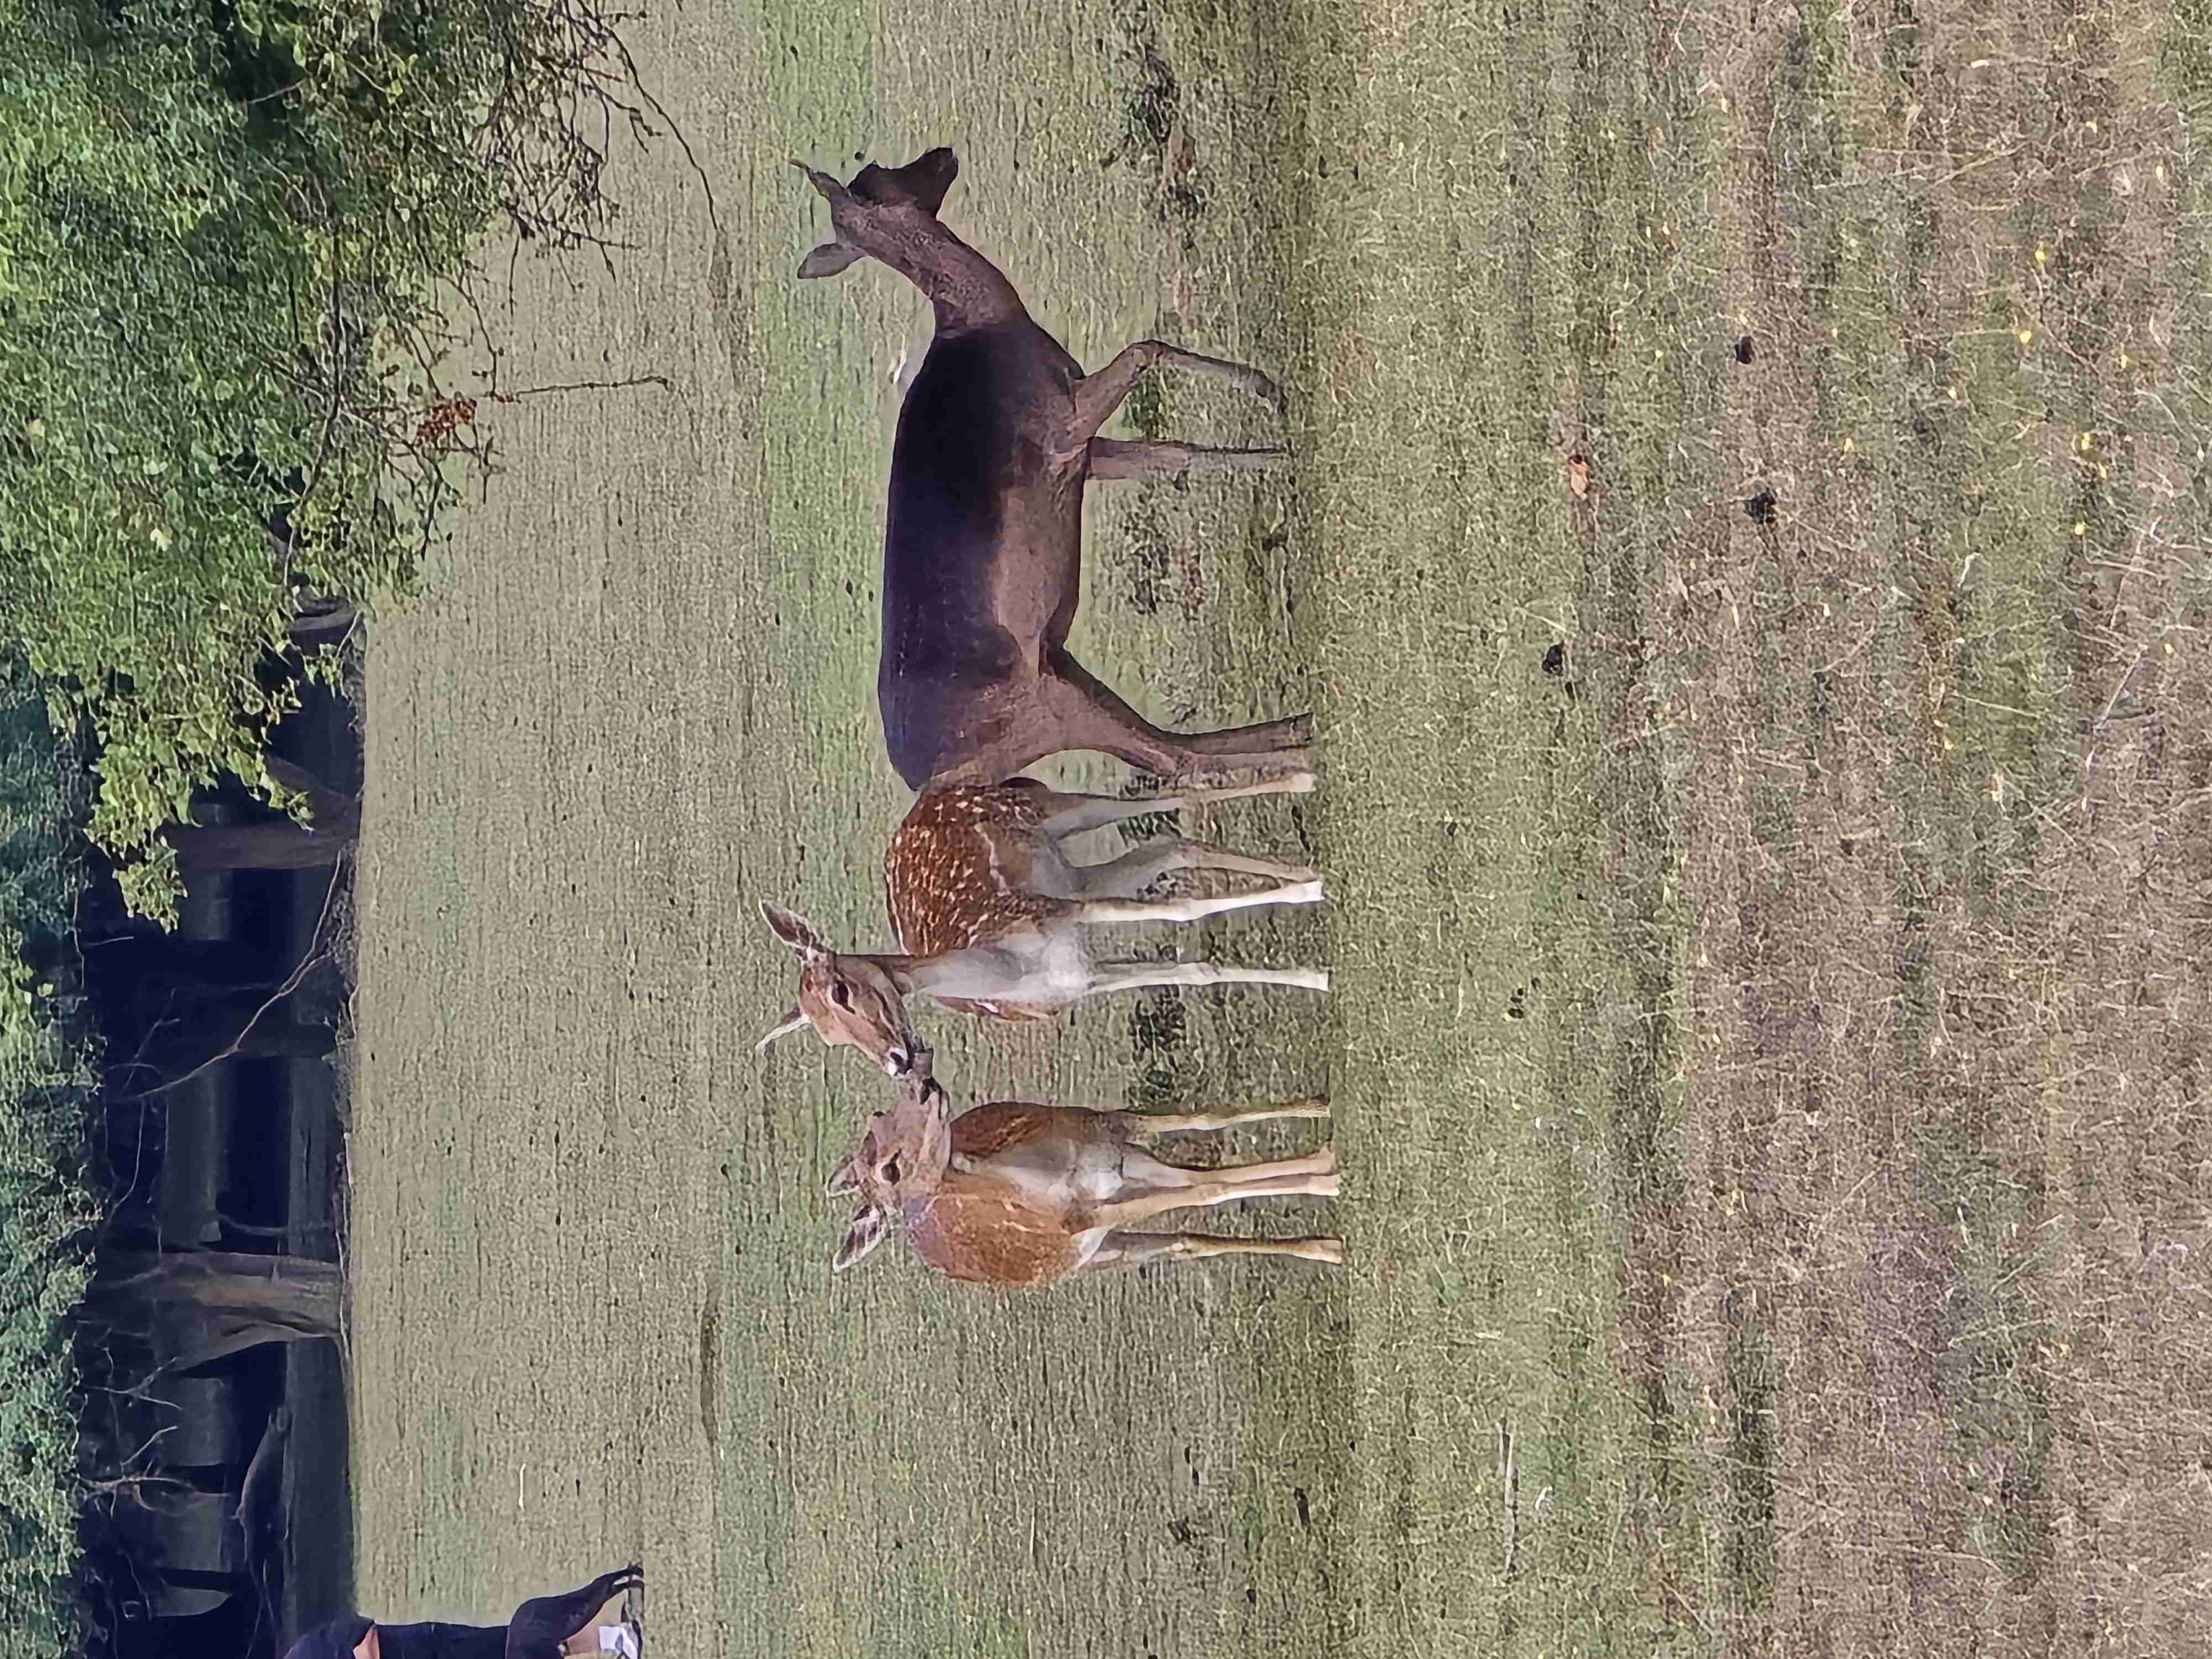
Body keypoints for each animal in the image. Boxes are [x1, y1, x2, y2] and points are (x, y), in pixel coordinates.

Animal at [757, 774, 1328, 1076]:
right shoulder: (1080, 976)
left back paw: (1304, 784)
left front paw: (1313, 916)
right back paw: (1304, 859)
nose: (896, 1061)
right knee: (1174, 845)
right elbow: (1194, 970)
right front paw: (1316, 972)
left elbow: (1184, 910)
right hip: (1071, 873)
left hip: (1049, 809)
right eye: (827, 1038)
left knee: (1168, 801)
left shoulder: (1058, 911)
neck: (1011, 971)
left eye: (841, 990)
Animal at [792, 144, 1310, 791]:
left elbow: (1173, 452)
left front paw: (1282, 443)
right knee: (1177, 761)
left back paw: (1299, 727)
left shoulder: (1083, 457)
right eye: (881, 178)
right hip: (1050, 706)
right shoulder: (1064, 425)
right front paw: (1268, 390)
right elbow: (1147, 349)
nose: (943, 153)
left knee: (1170, 745)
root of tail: (934, 782)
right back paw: (1305, 755)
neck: (987, 323)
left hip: (1061, 665)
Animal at [825, 1049, 1343, 1286]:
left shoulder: (1112, 1136)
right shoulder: (1096, 1214)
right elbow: (1209, 1188)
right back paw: (1327, 1241)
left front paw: (1322, 1115)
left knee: (1186, 1234)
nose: (923, 1086)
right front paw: (1329, 1173)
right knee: (1182, 1238)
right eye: (889, 1170)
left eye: (877, 1114)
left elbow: (1207, 1121)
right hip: (1104, 1250)